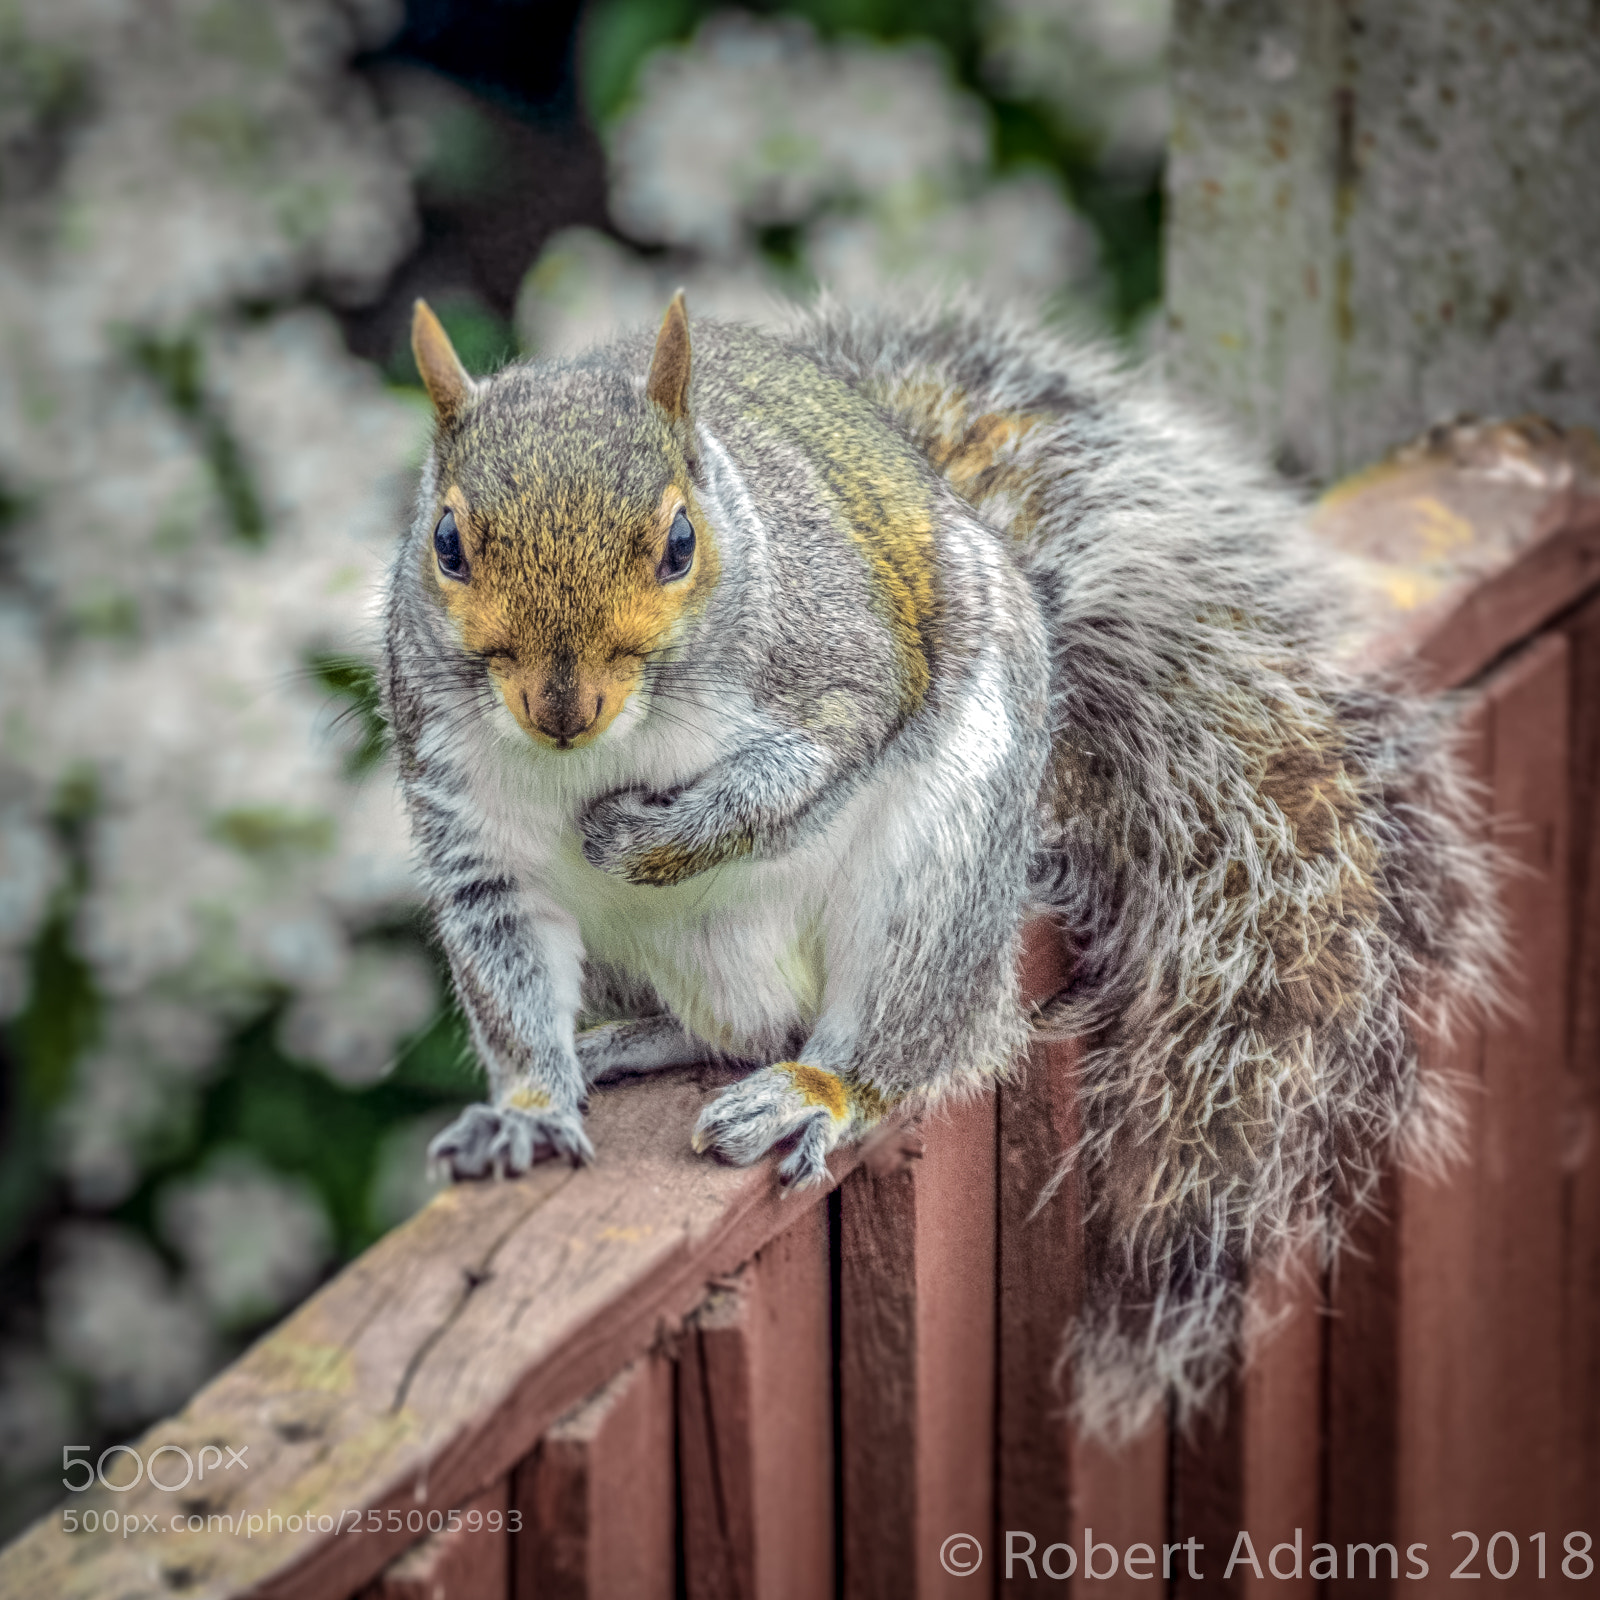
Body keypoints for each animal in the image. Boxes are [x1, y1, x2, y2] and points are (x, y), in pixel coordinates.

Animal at [383, 291, 1499, 1437]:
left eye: (680, 543)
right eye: (447, 544)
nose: (561, 708)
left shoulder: (840, 669)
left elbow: (803, 771)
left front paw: (650, 840)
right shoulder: (472, 844)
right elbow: (512, 990)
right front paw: (527, 1111)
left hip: (937, 876)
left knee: (894, 1038)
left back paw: (823, 1087)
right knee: (725, 1031)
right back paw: (631, 1043)